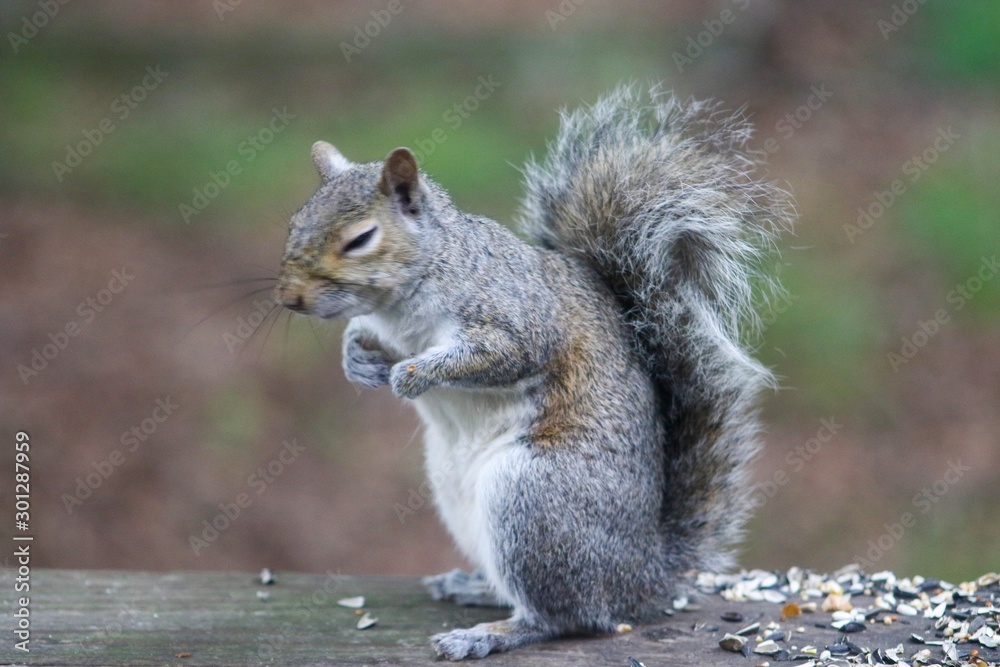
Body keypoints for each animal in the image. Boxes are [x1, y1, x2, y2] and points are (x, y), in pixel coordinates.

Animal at [275, 85, 791, 660]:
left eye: (361, 238)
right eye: (296, 221)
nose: (290, 298)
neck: (406, 300)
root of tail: (642, 577)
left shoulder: (516, 318)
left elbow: (500, 356)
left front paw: (415, 375)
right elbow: (359, 335)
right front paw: (358, 362)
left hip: (533, 500)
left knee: (566, 617)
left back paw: (490, 634)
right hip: (462, 496)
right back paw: (474, 588)